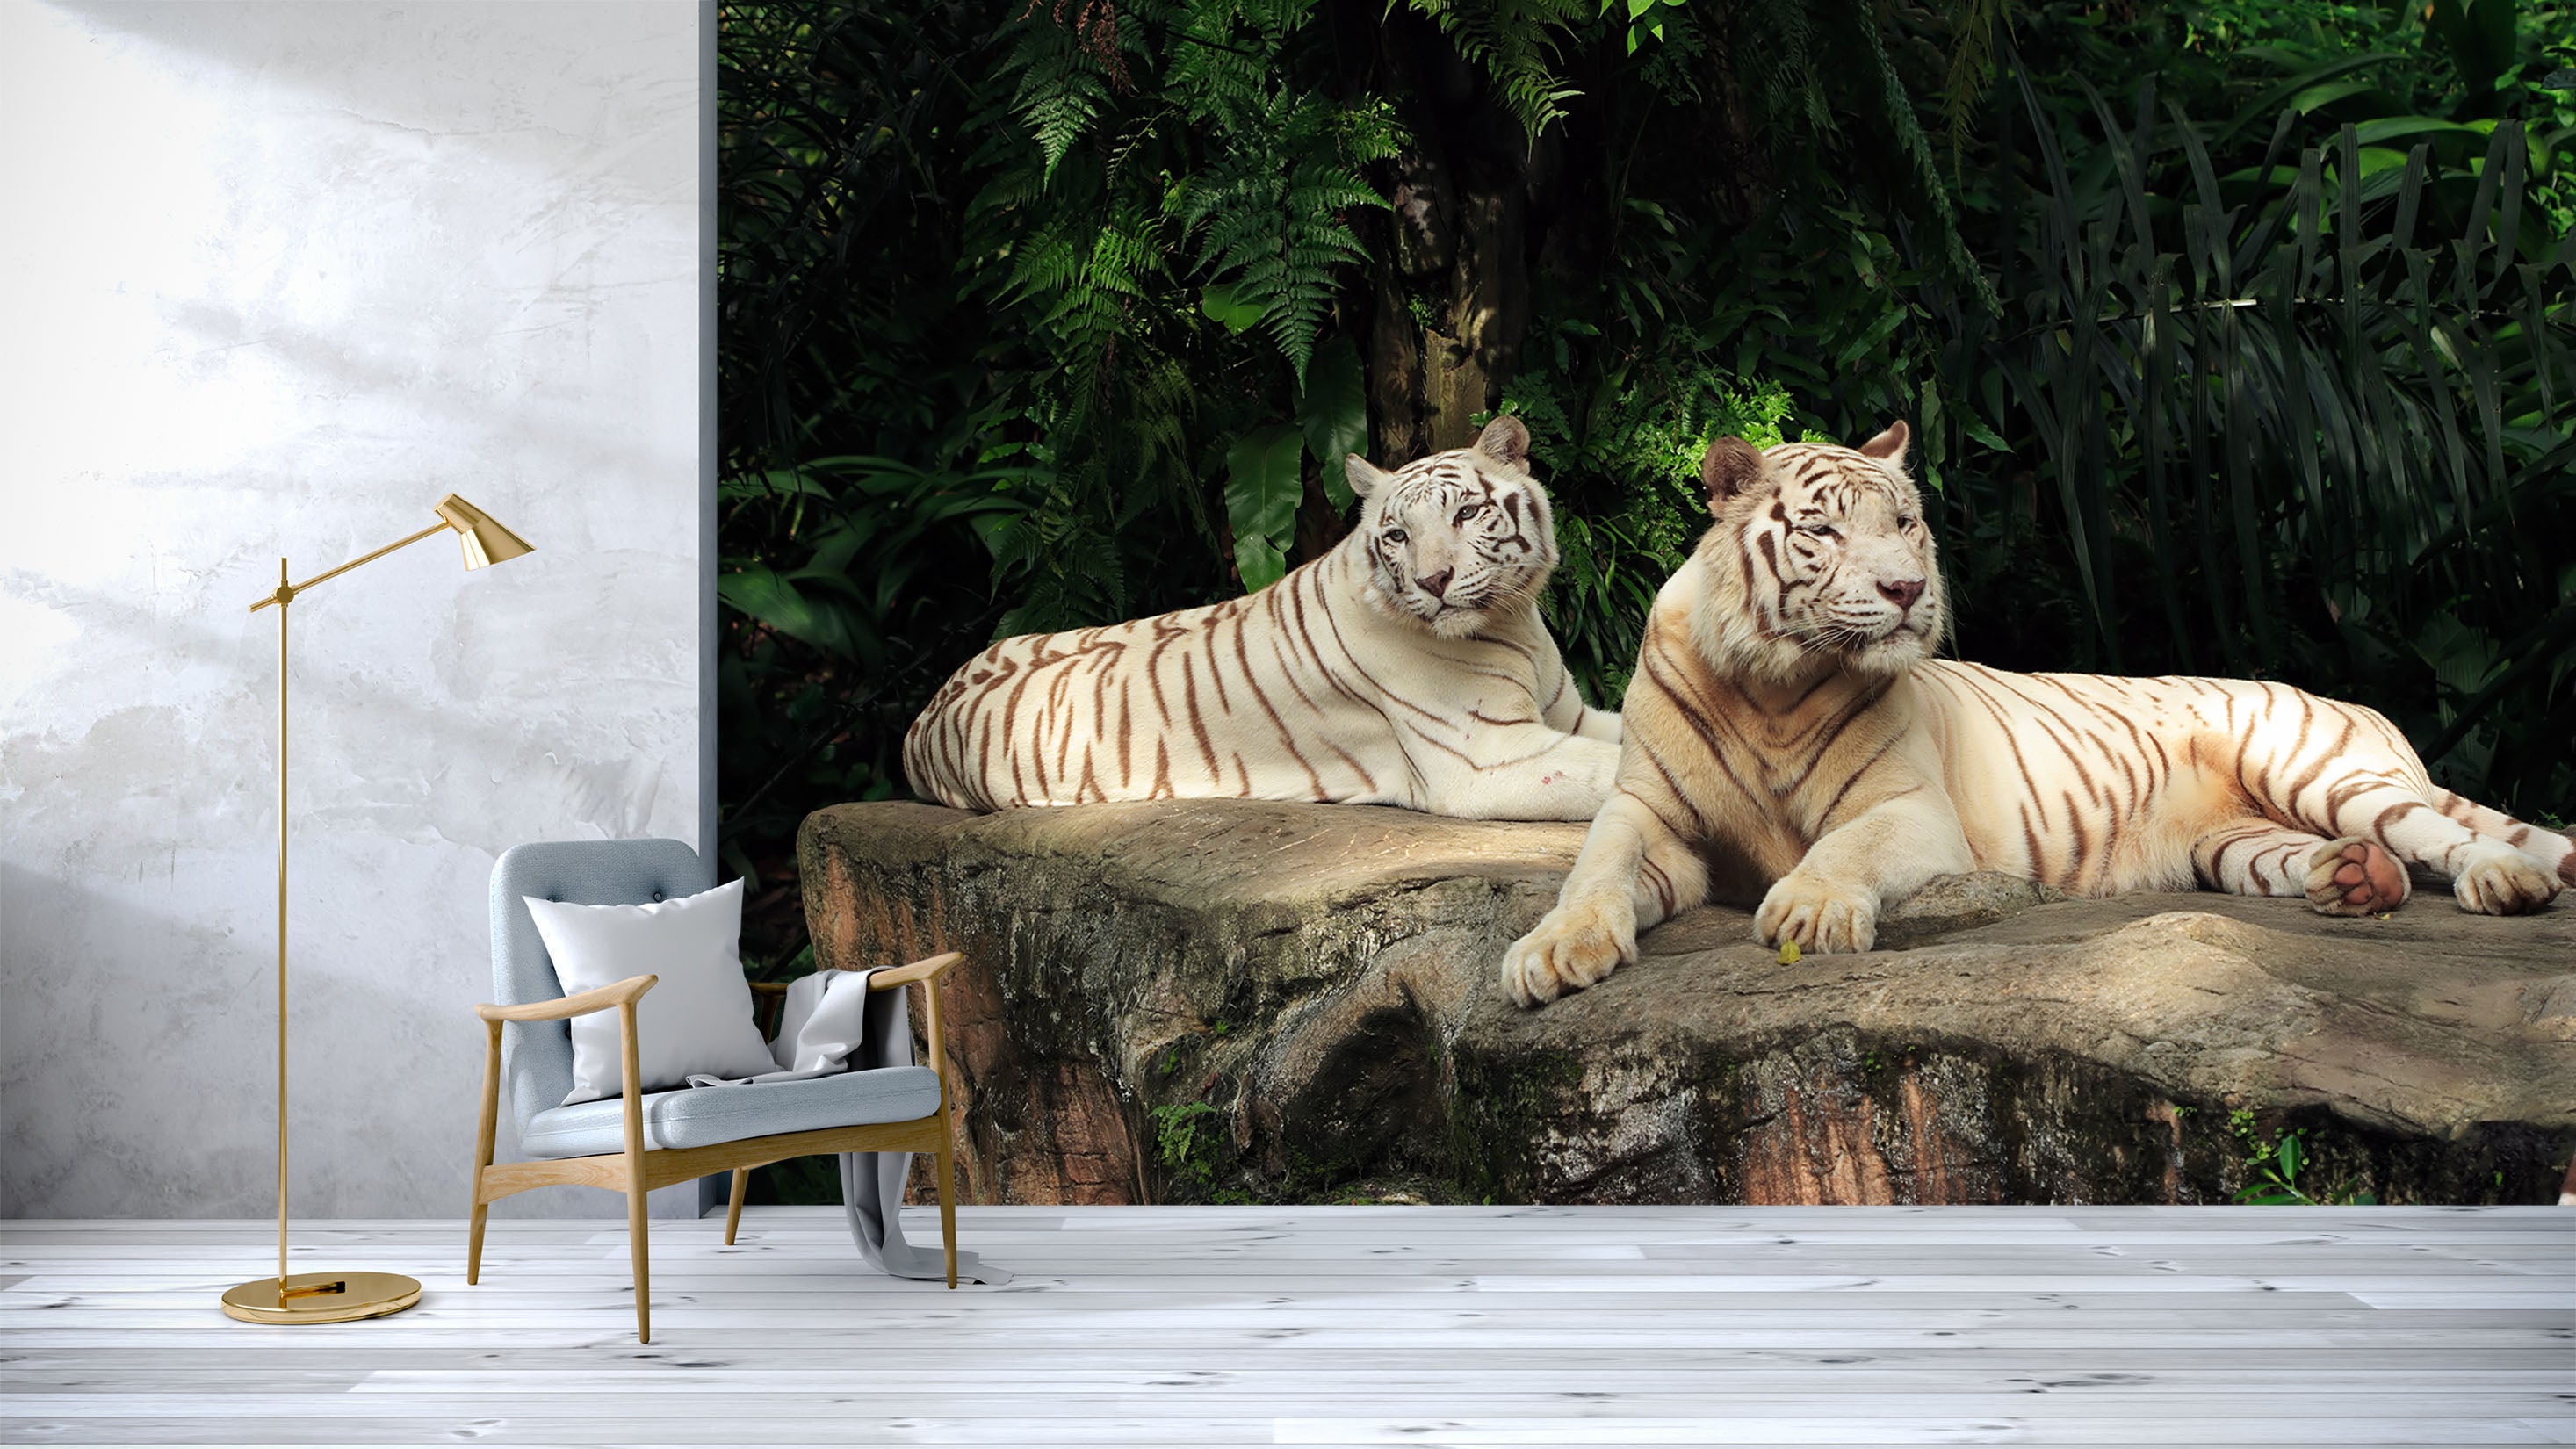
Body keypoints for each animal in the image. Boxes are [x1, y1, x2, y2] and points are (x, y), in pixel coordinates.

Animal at [903, 415, 1624, 821]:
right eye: (1396, 536)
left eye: (1467, 514)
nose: (1432, 582)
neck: (1512, 621)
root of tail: (920, 720)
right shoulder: (1486, 756)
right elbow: (1614, 770)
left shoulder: (1569, 717)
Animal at [1501, 419, 2569, 1006]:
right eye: (1823, 532)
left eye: (1905, 523)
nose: (1904, 590)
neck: (1768, 682)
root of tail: (2358, 707)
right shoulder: (1648, 813)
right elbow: (1593, 869)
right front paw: (1551, 954)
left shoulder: (1905, 809)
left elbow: (1840, 850)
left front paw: (1808, 908)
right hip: (2233, 842)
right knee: (2331, 856)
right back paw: (2355, 882)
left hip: (2315, 768)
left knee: (2444, 830)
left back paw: (2502, 882)